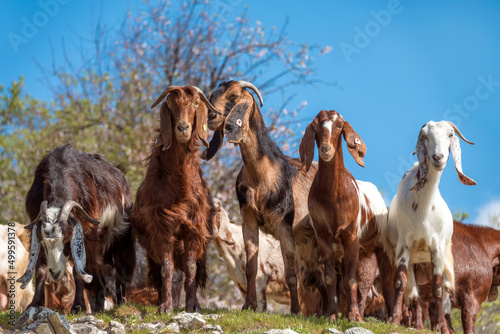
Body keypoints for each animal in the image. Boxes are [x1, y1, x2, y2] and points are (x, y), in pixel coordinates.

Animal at [18, 144, 136, 314]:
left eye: (67, 241)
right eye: (45, 245)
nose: (55, 273)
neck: (61, 168)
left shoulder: (87, 232)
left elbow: (79, 269)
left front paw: (78, 306)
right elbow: (40, 269)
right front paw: (34, 304)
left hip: (120, 238)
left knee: (120, 267)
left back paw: (120, 302)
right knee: (97, 268)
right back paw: (98, 305)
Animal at [132, 84, 220, 314]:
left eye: (196, 103)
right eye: (171, 104)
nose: (182, 128)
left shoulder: (194, 226)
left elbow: (191, 266)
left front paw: (193, 305)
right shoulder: (161, 225)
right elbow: (167, 267)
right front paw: (166, 306)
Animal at [203, 80, 316, 314]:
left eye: (234, 96)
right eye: (212, 95)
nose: (211, 116)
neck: (262, 174)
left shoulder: (285, 227)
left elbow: (291, 274)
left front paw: (296, 311)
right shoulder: (249, 220)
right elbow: (251, 268)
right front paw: (249, 305)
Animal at [298, 109, 388, 320]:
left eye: (339, 126)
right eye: (316, 126)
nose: (326, 150)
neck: (334, 198)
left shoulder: (351, 237)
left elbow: (352, 280)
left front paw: (354, 316)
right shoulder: (323, 237)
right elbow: (331, 279)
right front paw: (332, 314)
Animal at [382, 119, 476, 332]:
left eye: (450, 135)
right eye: (425, 136)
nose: (438, 157)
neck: (423, 209)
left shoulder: (437, 249)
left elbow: (438, 288)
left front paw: (441, 327)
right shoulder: (404, 245)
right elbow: (400, 282)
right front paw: (394, 319)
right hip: (415, 263)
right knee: (415, 296)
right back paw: (417, 326)